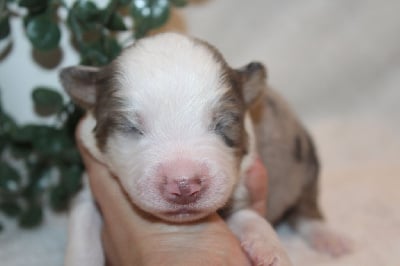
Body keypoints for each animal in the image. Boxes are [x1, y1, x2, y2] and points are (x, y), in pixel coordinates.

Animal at [61, 32, 348, 264]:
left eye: (223, 124)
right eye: (131, 127)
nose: (184, 185)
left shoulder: (238, 186)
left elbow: (248, 216)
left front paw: (269, 248)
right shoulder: (88, 185)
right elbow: (82, 225)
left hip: (303, 158)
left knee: (306, 205)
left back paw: (329, 238)